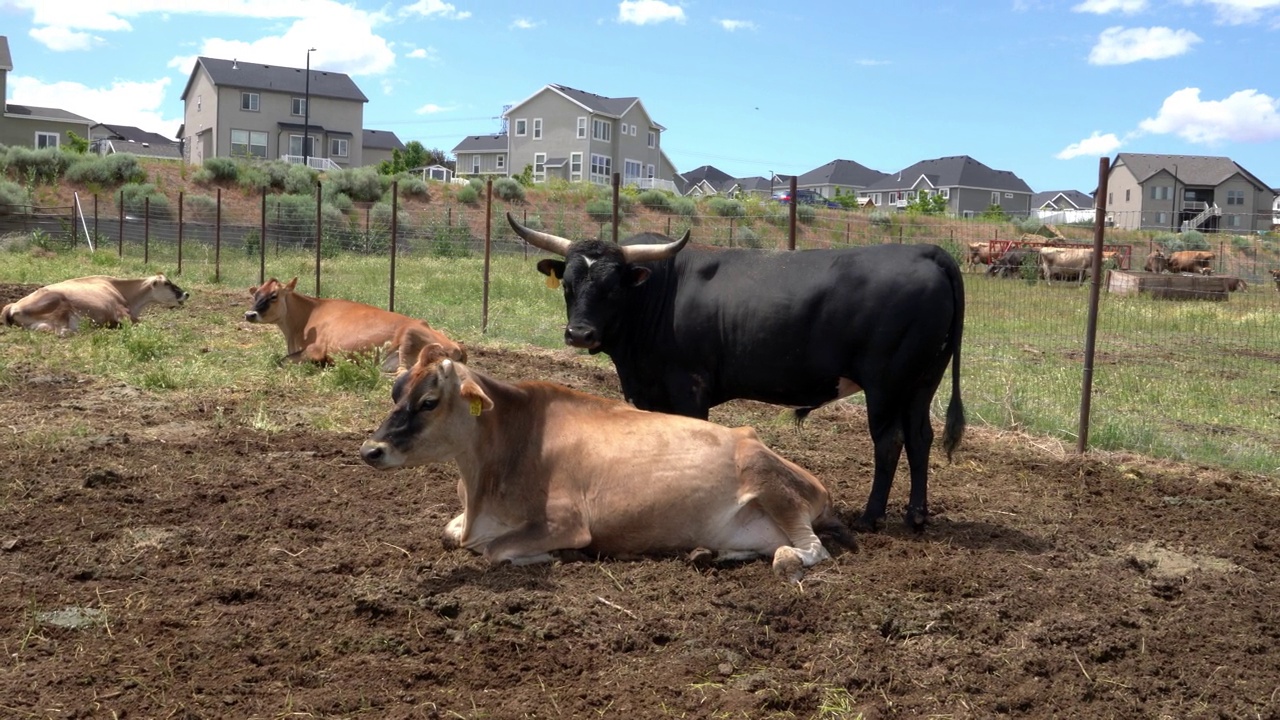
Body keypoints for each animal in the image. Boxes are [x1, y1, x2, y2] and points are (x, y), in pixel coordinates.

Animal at [244, 271, 465, 366]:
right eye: (256, 295)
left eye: (274, 296)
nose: (249, 314)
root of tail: (456, 345)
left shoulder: (316, 349)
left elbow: (282, 361)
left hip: (408, 338)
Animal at [360, 343, 855, 584]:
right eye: (396, 391)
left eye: (429, 402)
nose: (371, 450)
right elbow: (451, 535)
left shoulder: (567, 521)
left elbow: (496, 550)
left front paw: (558, 556)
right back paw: (708, 553)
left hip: (772, 485)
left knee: (810, 550)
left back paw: (786, 558)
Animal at [504, 212, 962, 527]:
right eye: (568, 286)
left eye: (613, 287)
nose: (579, 333)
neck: (658, 292)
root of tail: (926, 250)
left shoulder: (688, 388)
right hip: (922, 381)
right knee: (920, 437)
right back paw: (916, 515)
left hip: (885, 384)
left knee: (889, 441)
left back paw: (871, 516)